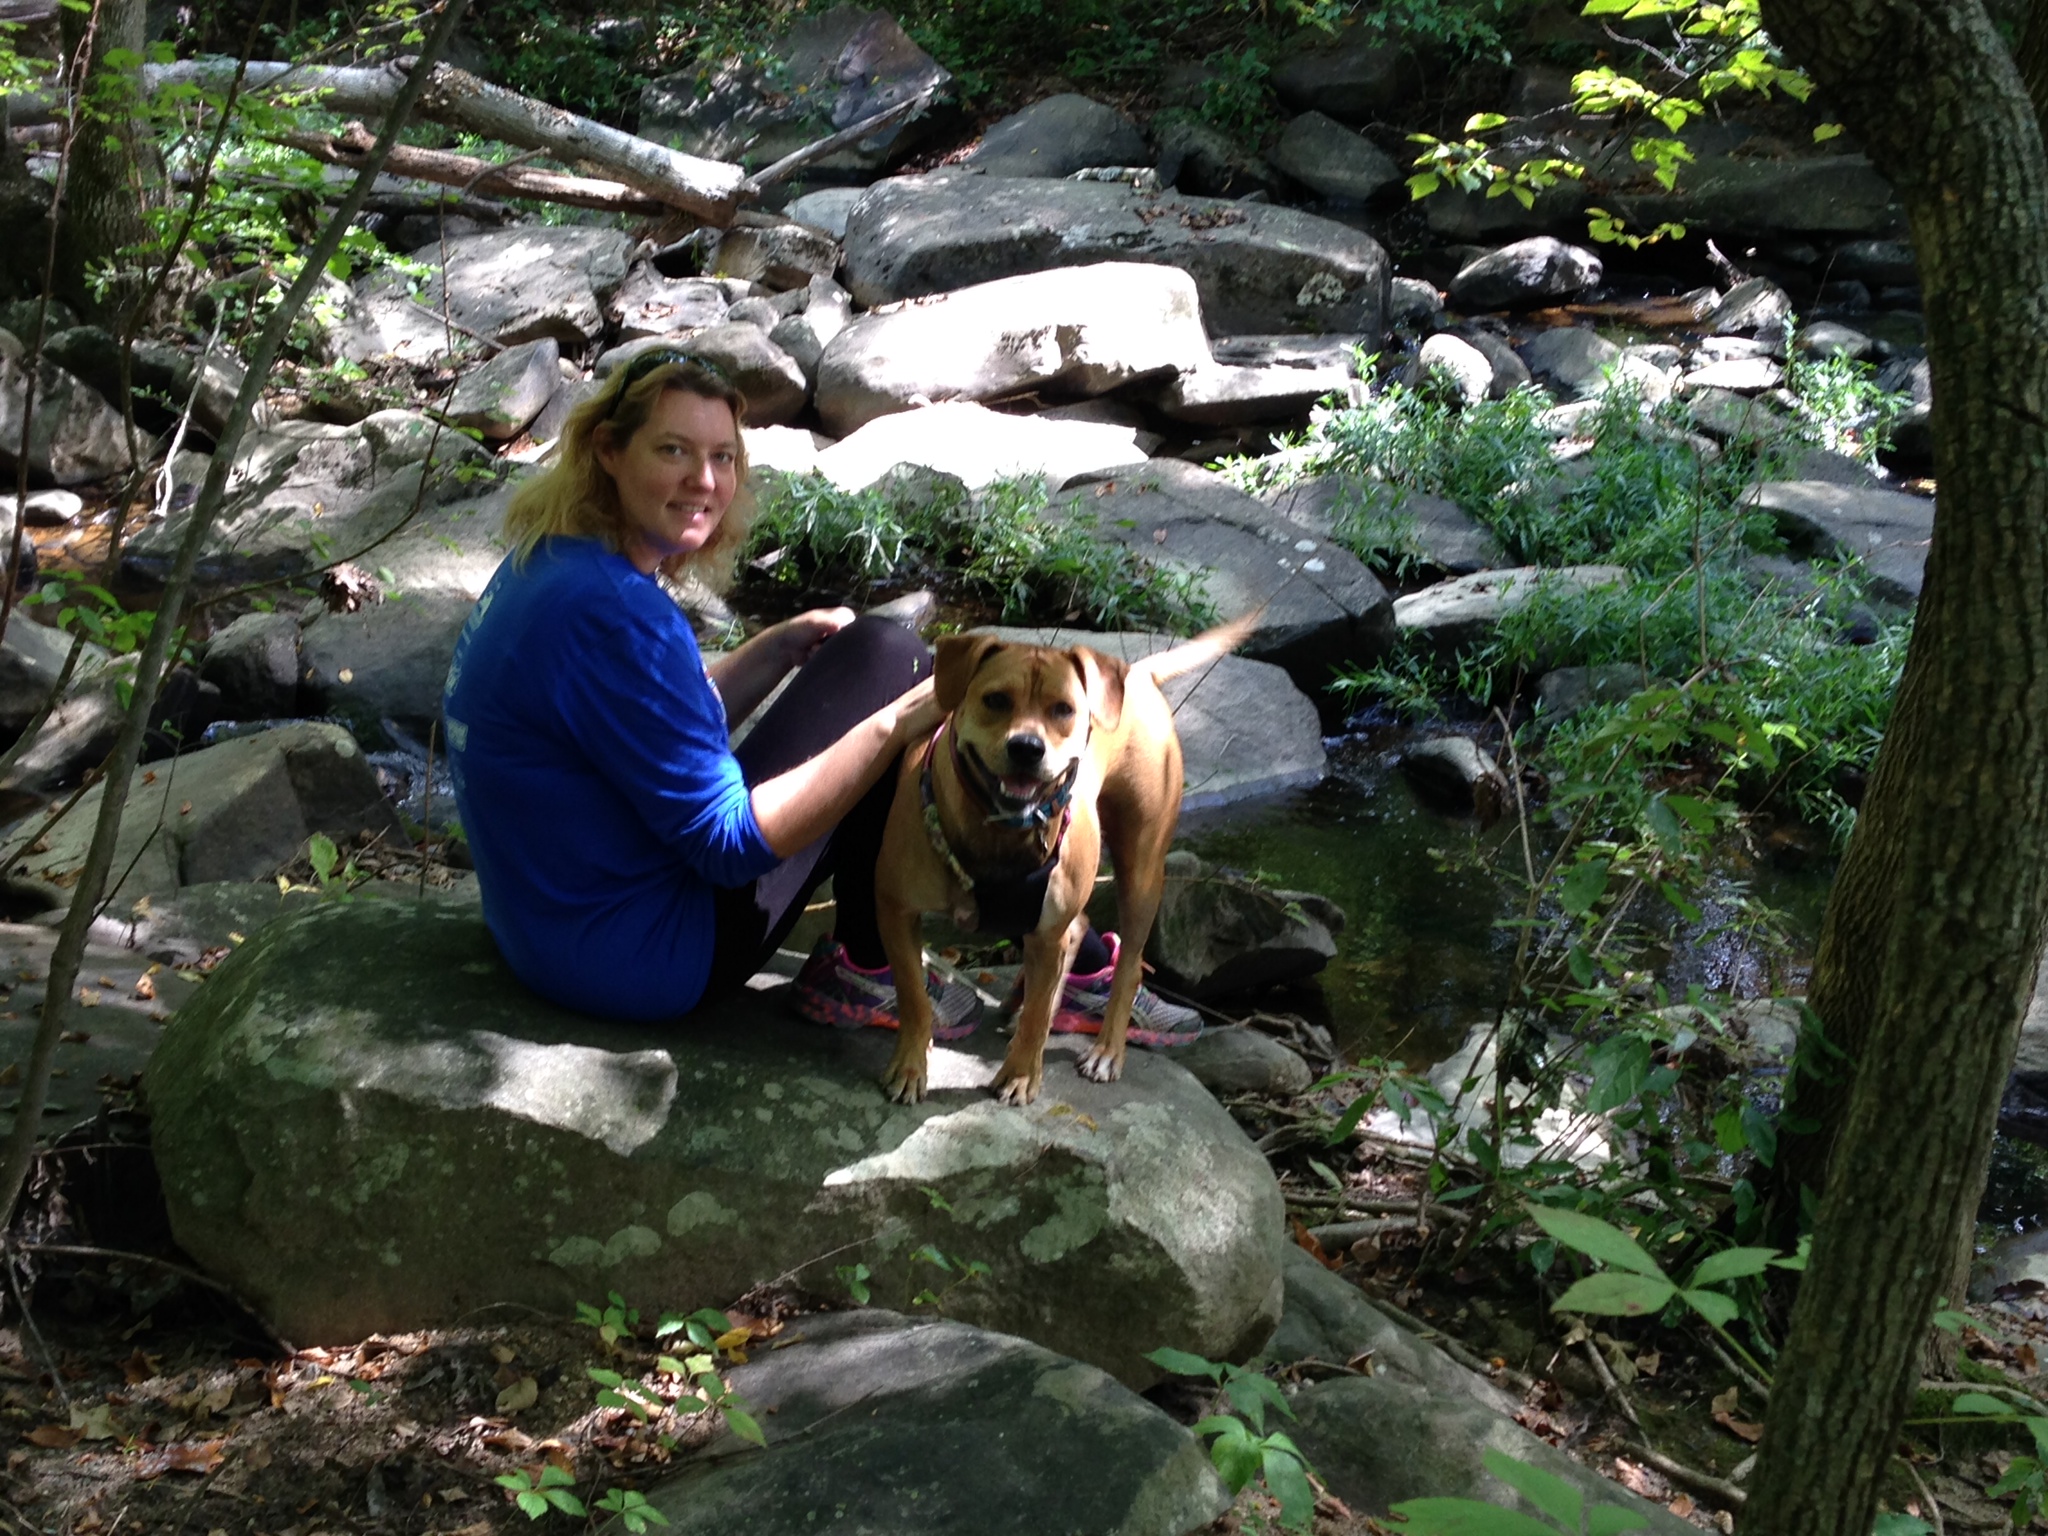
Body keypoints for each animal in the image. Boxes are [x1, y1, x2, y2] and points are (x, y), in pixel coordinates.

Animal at [872, 618, 1253, 1114]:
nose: (1027, 748)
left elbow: (1038, 1013)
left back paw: (1106, 1050)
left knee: (1127, 965)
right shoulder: (895, 908)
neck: (998, 827)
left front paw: (1020, 1075)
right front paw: (910, 1066)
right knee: (1077, 934)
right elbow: (913, 996)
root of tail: (1136, 671)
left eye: (1064, 710)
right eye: (996, 700)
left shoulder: (1047, 927)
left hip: (1141, 869)